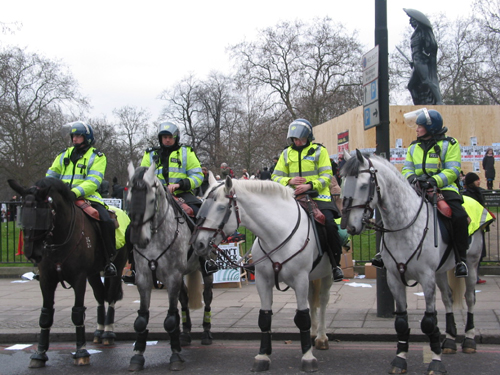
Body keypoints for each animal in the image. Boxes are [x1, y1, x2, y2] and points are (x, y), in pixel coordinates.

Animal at [8, 178, 129, 368]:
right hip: (93, 273)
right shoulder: (47, 280)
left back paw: (108, 333)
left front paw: (81, 352)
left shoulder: (79, 278)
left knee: (110, 296)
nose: (31, 253)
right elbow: (46, 314)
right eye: (22, 213)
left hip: (118, 265)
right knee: (100, 295)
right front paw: (39, 354)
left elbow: (78, 313)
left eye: (43, 215)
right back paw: (99, 331)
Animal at [125, 165, 213, 374]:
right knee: (184, 298)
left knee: (207, 297)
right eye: (129, 197)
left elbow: (170, 319)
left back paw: (206, 332)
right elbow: (141, 319)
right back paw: (186, 332)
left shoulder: (172, 277)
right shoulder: (144, 279)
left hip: (204, 271)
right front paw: (138, 355)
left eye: (151, 199)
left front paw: (175, 356)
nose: (138, 238)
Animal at [190, 173, 336, 374]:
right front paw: (263, 356)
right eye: (202, 204)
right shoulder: (263, 280)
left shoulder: (300, 279)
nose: (198, 244)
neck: (277, 233)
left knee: (322, 300)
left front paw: (307, 357)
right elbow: (265, 318)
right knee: (312, 299)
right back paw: (313, 334)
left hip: (326, 274)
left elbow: (302, 317)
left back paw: (321, 337)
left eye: (220, 207)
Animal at [340, 151, 492, 375]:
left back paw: (469, 340)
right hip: (440, 271)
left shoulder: (426, 278)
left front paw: (435, 361)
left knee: (470, 297)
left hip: (471, 264)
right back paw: (449, 340)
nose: (349, 227)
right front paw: (400, 359)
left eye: (363, 184)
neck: (404, 225)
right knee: (448, 298)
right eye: (343, 182)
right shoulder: (394, 279)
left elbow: (429, 322)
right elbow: (401, 322)